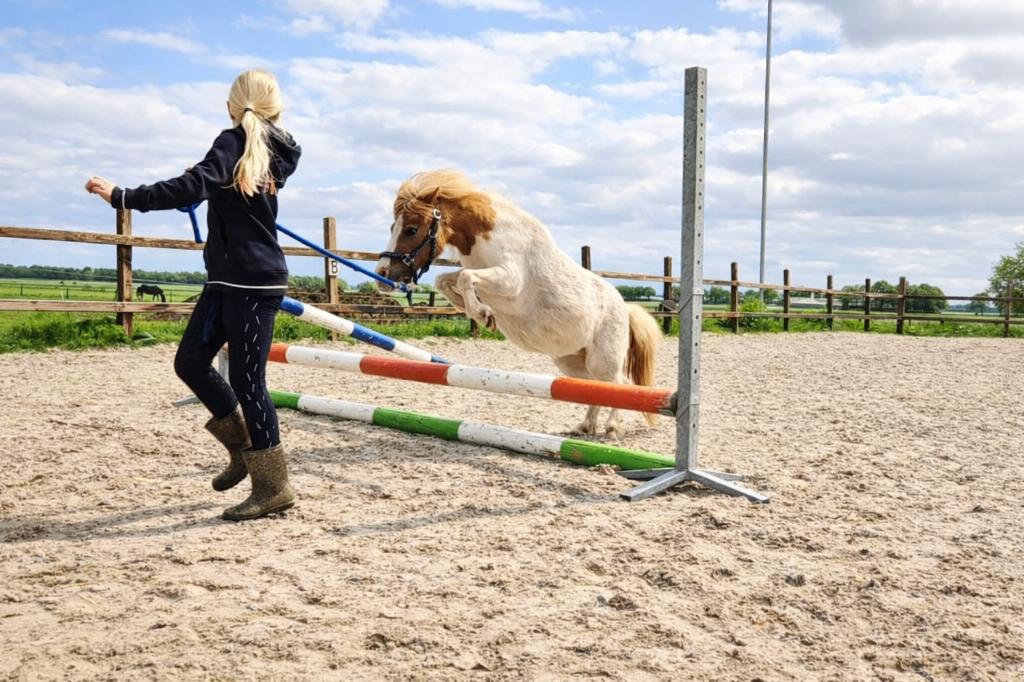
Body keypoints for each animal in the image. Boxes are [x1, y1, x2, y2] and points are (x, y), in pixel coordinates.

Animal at [375, 169, 662, 436]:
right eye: (391, 228)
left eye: (411, 230)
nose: (382, 273)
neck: (486, 237)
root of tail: (625, 308)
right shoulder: (477, 272)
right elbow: (445, 280)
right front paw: (480, 313)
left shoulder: (508, 280)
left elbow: (466, 278)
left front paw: (482, 314)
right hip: (572, 362)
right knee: (596, 387)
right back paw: (584, 427)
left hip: (603, 358)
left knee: (619, 382)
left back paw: (611, 427)